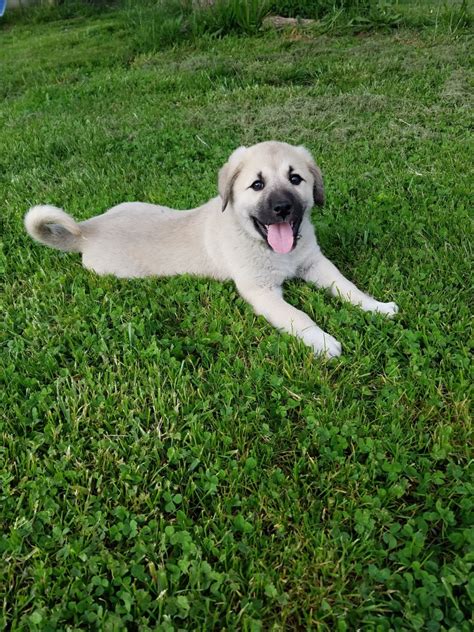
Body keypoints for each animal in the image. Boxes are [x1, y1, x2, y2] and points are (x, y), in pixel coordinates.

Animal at [24, 141, 398, 358]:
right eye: (257, 185)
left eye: (295, 179)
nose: (282, 208)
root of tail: (87, 230)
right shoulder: (260, 291)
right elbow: (297, 315)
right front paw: (321, 340)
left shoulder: (314, 263)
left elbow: (348, 288)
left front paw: (376, 307)